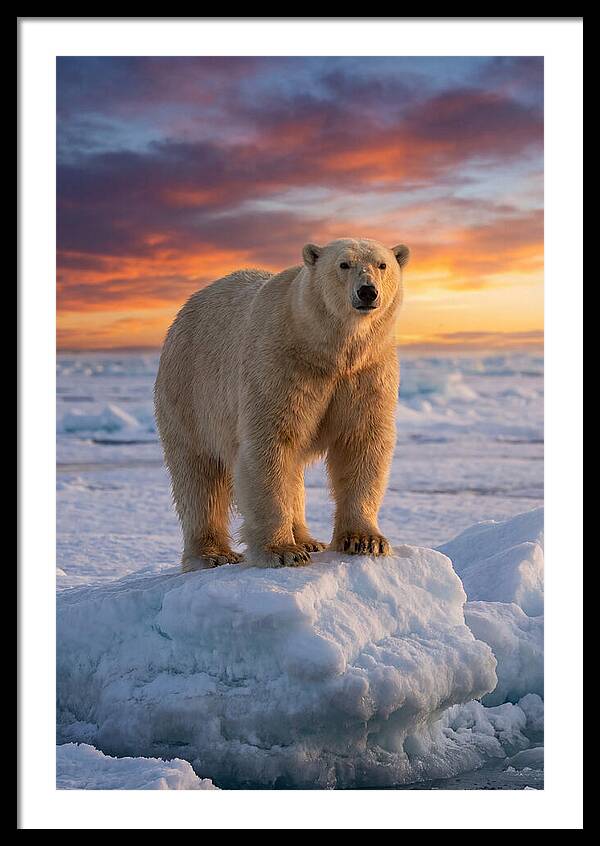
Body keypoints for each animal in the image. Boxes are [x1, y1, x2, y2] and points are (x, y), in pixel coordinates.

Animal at [154, 237, 409, 571]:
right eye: (344, 264)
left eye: (382, 265)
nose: (367, 291)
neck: (327, 350)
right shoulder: (280, 364)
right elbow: (269, 444)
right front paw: (283, 551)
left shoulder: (367, 372)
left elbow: (361, 442)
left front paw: (366, 540)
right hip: (189, 391)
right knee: (199, 475)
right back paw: (213, 554)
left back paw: (308, 539)